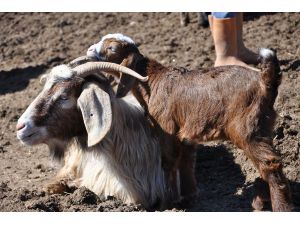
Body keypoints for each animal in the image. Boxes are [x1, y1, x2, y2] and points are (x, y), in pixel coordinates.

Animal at [84, 33, 292, 211]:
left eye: (111, 48)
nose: (89, 50)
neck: (152, 81)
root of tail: (265, 81)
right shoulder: (184, 132)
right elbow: (186, 161)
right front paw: (188, 199)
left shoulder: (166, 129)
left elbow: (168, 162)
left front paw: (166, 205)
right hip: (264, 124)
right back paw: (260, 202)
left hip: (247, 128)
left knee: (270, 164)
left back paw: (280, 208)